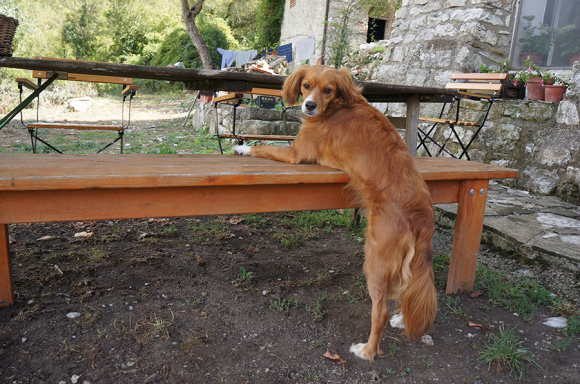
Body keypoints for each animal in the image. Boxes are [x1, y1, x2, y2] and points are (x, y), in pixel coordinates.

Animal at [233, 64, 438, 362]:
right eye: (306, 85)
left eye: (327, 90)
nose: (308, 106)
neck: (337, 107)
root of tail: (420, 209)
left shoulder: (295, 154)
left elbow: (263, 146)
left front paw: (242, 147)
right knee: (408, 286)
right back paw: (402, 318)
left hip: (376, 259)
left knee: (380, 311)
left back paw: (367, 351)